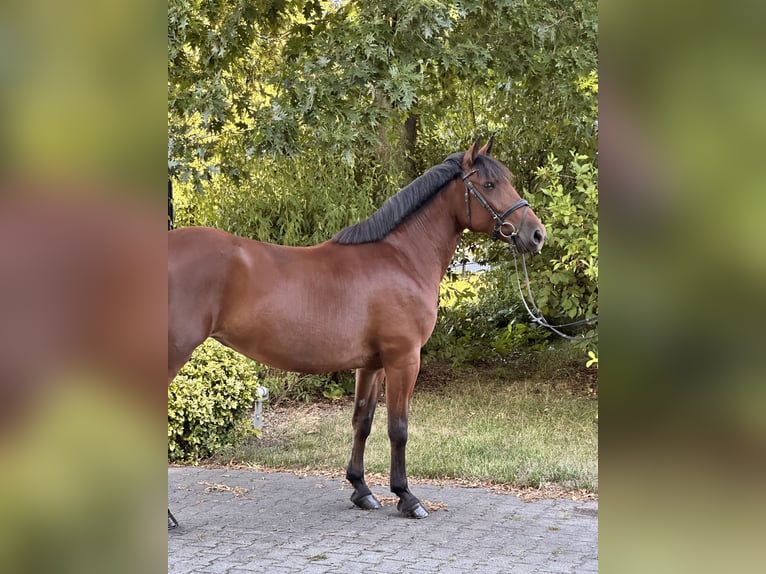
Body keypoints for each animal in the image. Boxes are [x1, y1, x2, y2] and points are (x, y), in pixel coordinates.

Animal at [168, 135, 546, 519]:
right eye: (489, 184)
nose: (536, 235)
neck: (402, 258)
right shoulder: (403, 359)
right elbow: (398, 428)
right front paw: (407, 497)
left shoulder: (371, 364)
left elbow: (362, 422)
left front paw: (361, 490)